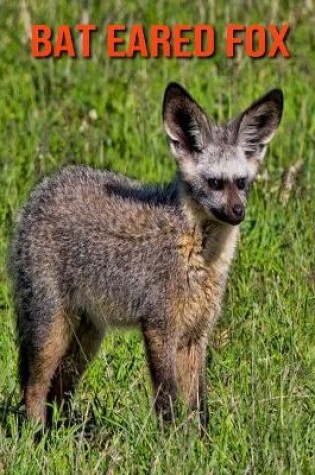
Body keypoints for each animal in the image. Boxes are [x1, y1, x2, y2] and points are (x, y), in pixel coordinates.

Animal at [9, 81, 284, 436]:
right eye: (214, 183)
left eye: (241, 183)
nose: (239, 212)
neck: (199, 258)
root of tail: (42, 189)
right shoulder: (158, 327)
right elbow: (168, 401)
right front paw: (172, 444)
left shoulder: (196, 336)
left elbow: (200, 407)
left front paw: (202, 444)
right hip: (51, 330)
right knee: (34, 389)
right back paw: (36, 438)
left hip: (86, 338)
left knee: (59, 392)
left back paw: (69, 438)